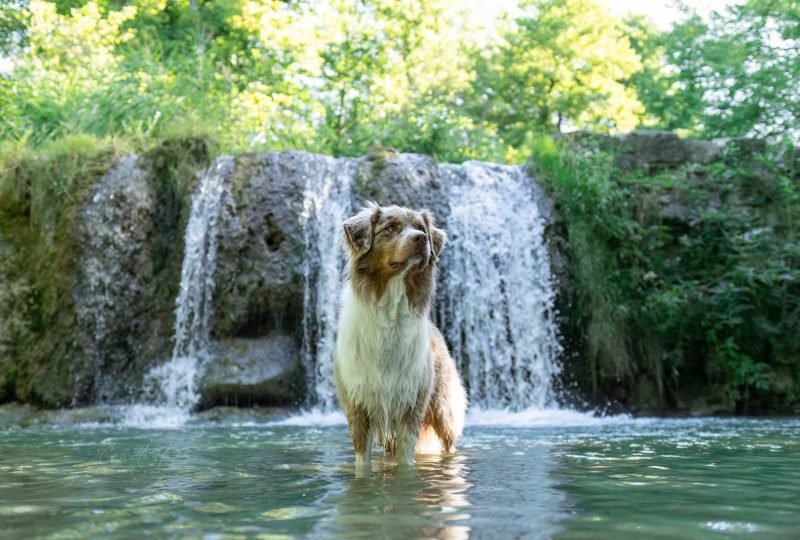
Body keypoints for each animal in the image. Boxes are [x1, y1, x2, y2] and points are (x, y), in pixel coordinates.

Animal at [332, 202, 468, 464]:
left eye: (421, 228)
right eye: (390, 228)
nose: (421, 238)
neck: (391, 309)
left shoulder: (410, 405)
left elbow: (406, 463)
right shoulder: (358, 405)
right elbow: (362, 462)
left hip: (444, 410)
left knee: (449, 443)